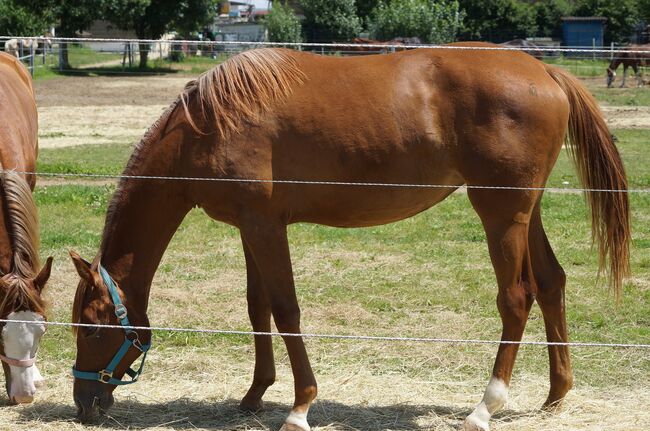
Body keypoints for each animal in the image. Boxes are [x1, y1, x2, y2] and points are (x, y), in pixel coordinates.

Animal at [69, 44, 628, 431]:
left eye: (92, 328)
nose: (85, 403)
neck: (206, 126)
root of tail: (545, 71)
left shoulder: (266, 227)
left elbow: (286, 311)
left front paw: (299, 407)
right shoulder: (250, 228)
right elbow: (257, 307)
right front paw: (254, 395)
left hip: (500, 215)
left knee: (516, 298)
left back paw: (484, 408)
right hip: (525, 214)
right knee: (552, 283)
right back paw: (556, 395)